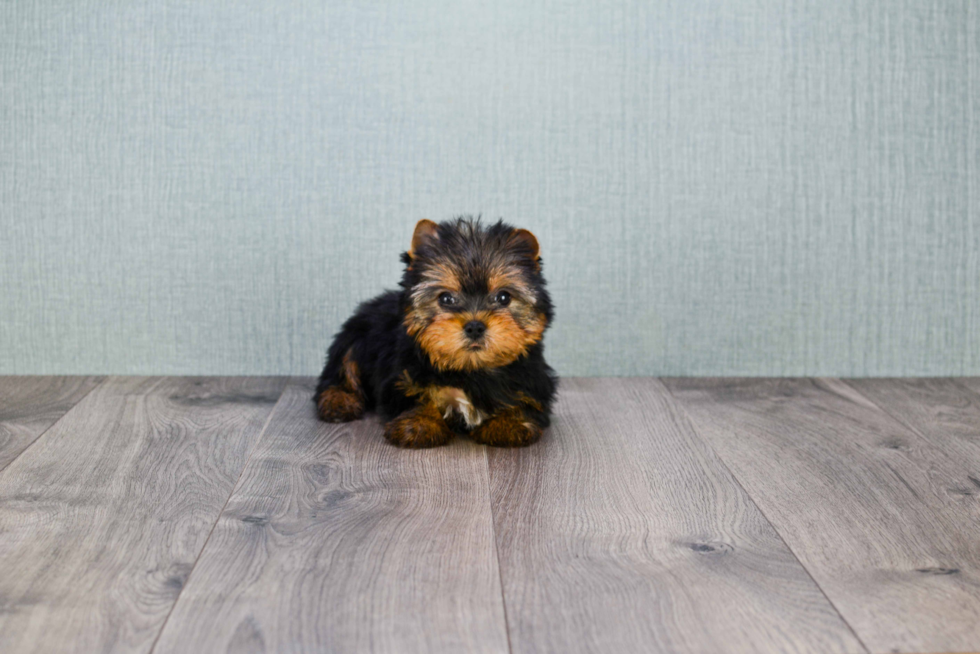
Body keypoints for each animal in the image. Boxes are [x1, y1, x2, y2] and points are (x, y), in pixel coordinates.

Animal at [316, 218, 556, 448]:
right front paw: (420, 423)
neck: (471, 370)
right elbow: (416, 396)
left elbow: (523, 401)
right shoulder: (403, 377)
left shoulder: (532, 381)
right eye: (446, 299)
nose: (475, 326)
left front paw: (509, 424)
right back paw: (338, 400)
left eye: (504, 297)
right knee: (342, 371)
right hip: (355, 337)